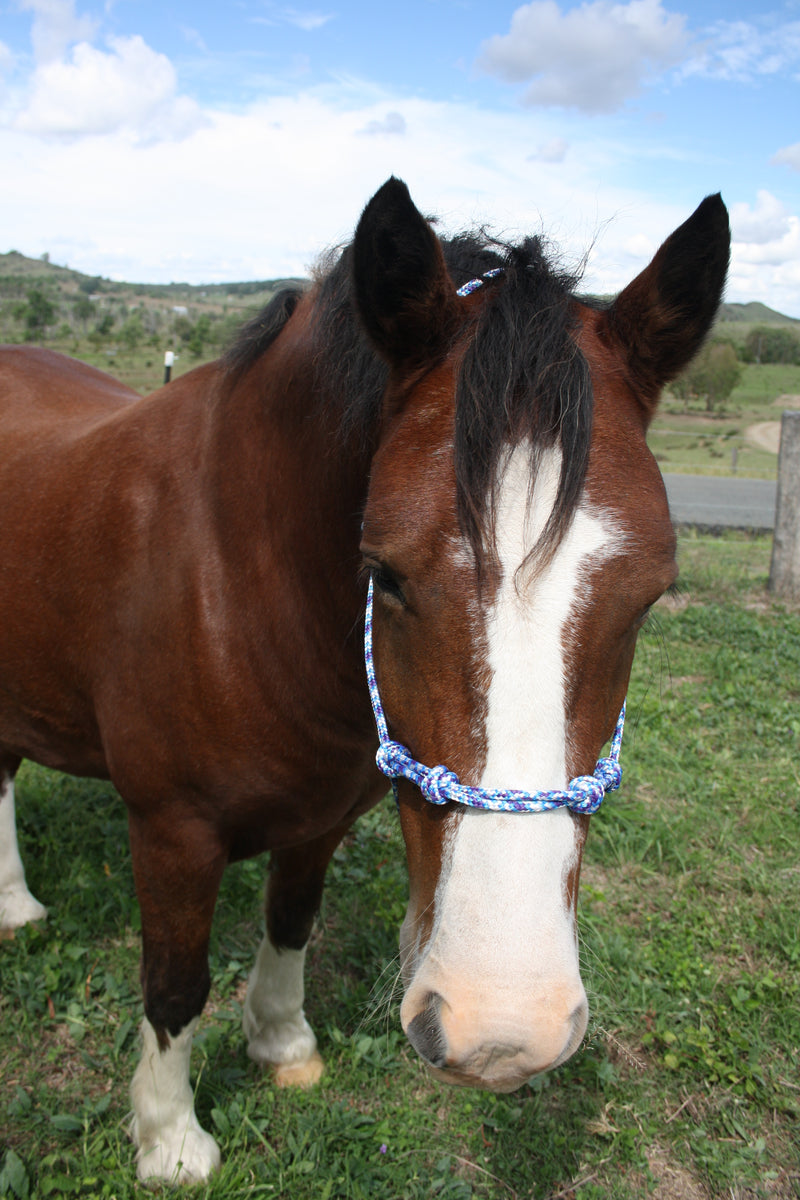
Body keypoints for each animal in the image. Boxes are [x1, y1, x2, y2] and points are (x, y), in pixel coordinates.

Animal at [0, 177, 729, 1180]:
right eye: (384, 573)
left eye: (651, 595)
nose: (503, 1032)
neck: (231, 575)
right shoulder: (171, 829)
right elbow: (175, 982)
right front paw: (171, 1138)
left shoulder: (322, 816)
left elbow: (291, 922)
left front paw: (282, 1046)